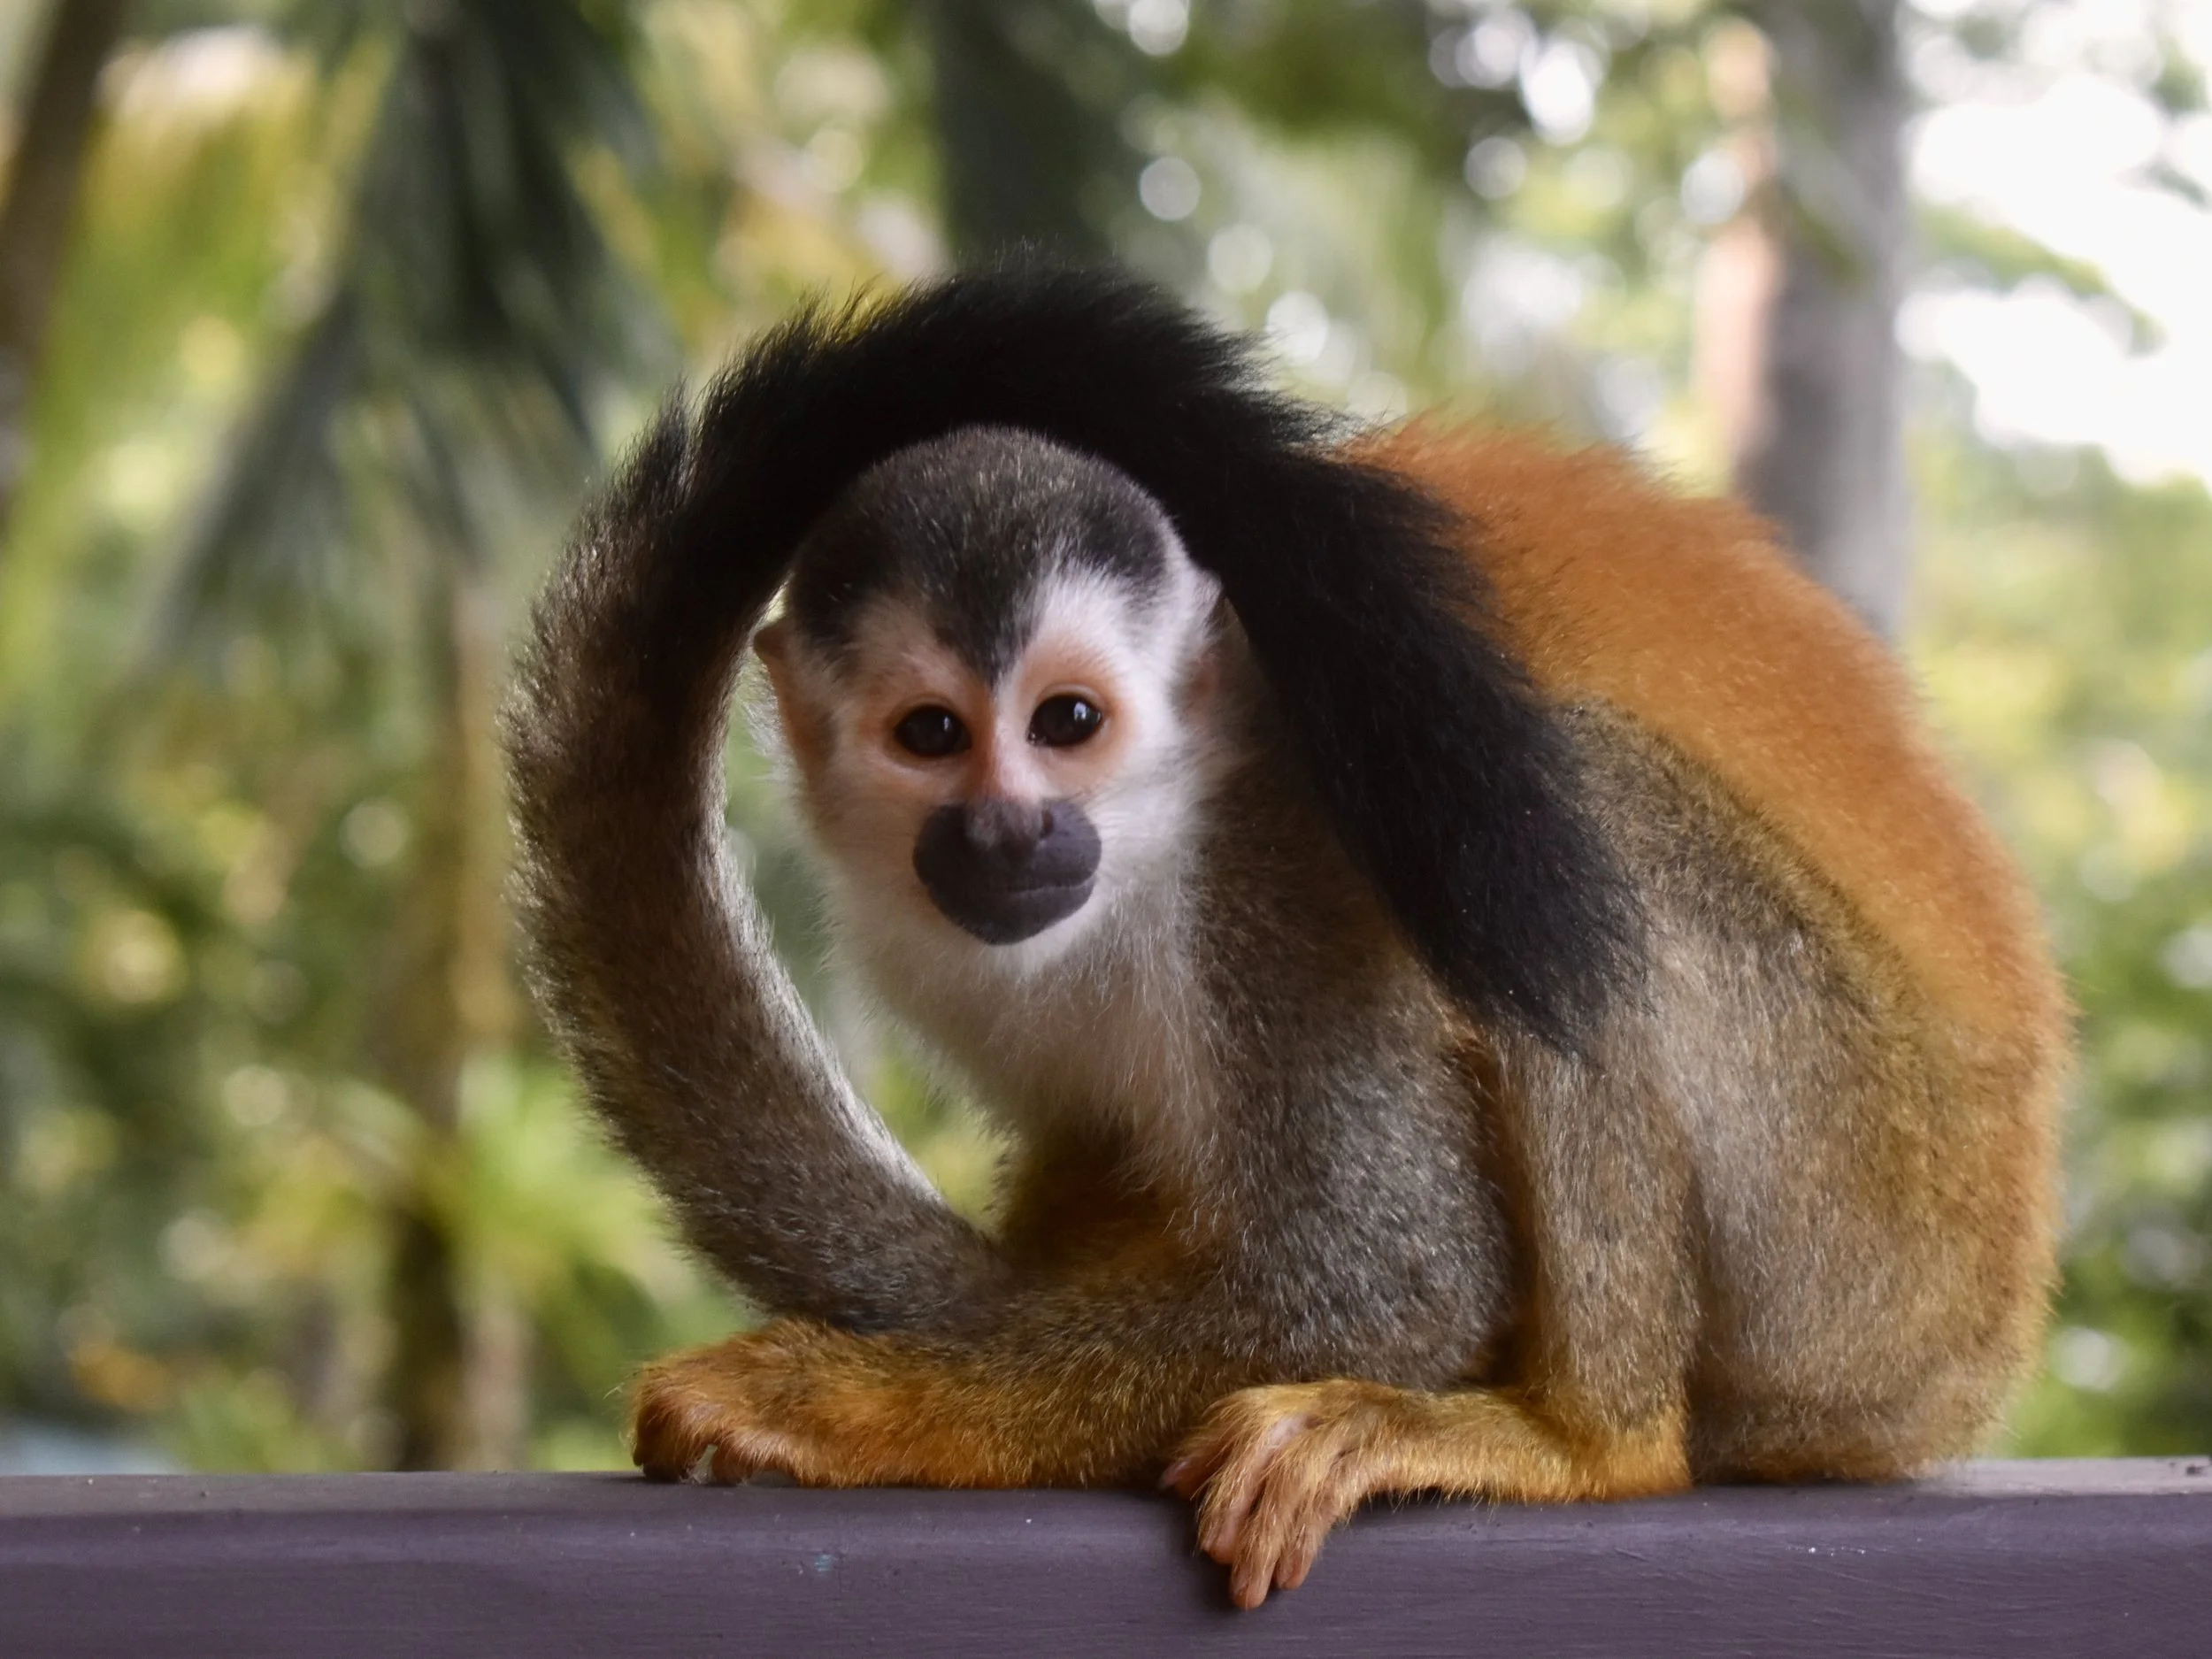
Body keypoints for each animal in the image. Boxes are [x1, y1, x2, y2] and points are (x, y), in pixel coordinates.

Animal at [500, 268, 2067, 1610]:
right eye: (930, 733)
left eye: (1069, 720)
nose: (1009, 834)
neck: (1155, 845)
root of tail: (1975, 1338)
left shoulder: (1282, 869)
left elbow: (1388, 1272)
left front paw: (827, 1400)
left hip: (1861, 1206)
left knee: (1581, 825)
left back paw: (1585, 1440)